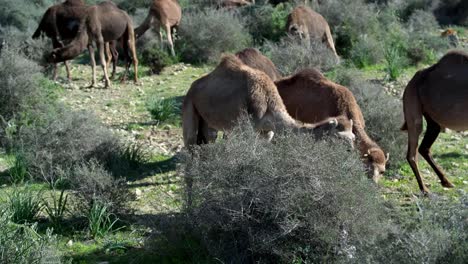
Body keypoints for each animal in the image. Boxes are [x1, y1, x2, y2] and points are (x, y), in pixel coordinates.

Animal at [182, 54, 352, 147]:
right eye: (341, 138)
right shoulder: (245, 129)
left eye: (353, 137)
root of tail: (191, 90)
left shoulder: (266, 132)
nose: (350, 151)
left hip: (208, 124)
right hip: (190, 110)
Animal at [400, 50, 468, 194]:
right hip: (412, 103)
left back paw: (446, 182)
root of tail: (413, 79)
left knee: (424, 147)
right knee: (412, 151)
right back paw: (424, 189)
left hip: (432, 120)